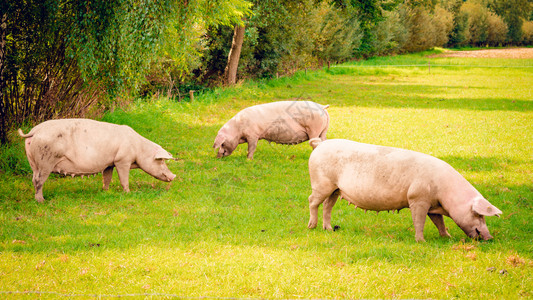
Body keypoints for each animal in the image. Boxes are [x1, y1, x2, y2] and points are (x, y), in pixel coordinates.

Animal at [18, 119, 177, 202]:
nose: (174, 176)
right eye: (161, 161)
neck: (138, 148)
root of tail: (34, 132)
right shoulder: (122, 160)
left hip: (33, 162)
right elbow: (123, 179)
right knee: (38, 181)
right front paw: (128, 193)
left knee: (33, 179)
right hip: (46, 160)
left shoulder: (109, 164)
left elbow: (106, 178)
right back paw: (41, 201)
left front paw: (105, 191)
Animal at [306, 138, 500, 241]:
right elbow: (419, 221)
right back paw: (311, 227)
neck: (445, 192)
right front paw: (421, 241)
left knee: (328, 206)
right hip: (321, 184)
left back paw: (328, 229)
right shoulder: (417, 198)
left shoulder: (432, 204)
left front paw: (447, 237)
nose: (490, 238)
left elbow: (439, 222)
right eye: (478, 215)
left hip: (335, 189)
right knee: (312, 201)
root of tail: (320, 144)